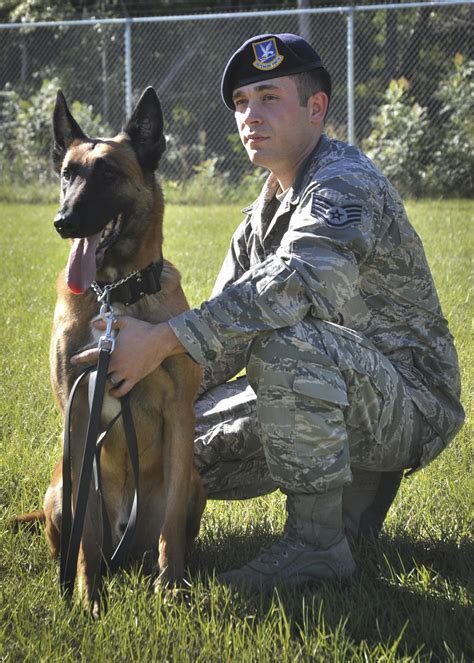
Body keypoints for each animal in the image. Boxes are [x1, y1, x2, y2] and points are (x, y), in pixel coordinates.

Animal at [16, 88, 206, 616]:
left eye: (108, 175)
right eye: (67, 175)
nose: (64, 222)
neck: (114, 293)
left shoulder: (179, 413)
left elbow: (170, 531)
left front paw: (172, 586)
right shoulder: (78, 413)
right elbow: (86, 534)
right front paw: (88, 596)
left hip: (195, 485)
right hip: (60, 489)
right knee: (82, 537)